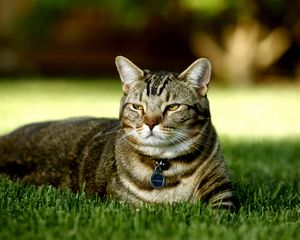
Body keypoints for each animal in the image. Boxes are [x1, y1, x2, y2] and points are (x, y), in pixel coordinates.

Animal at [0, 55, 234, 208]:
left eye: (173, 107)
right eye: (137, 107)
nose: (150, 123)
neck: (165, 165)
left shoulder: (221, 188)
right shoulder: (127, 205)